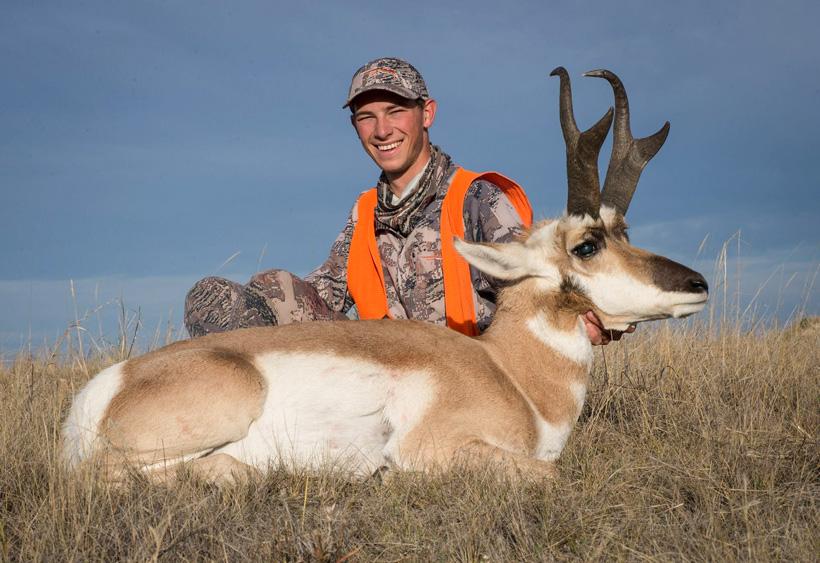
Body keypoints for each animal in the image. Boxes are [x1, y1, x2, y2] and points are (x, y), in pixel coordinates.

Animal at [62, 68, 708, 483]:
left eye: (625, 230)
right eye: (587, 245)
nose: (698, 285)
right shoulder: (441, 449)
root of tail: (104, 389)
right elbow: (552, 477)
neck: (509, 372)